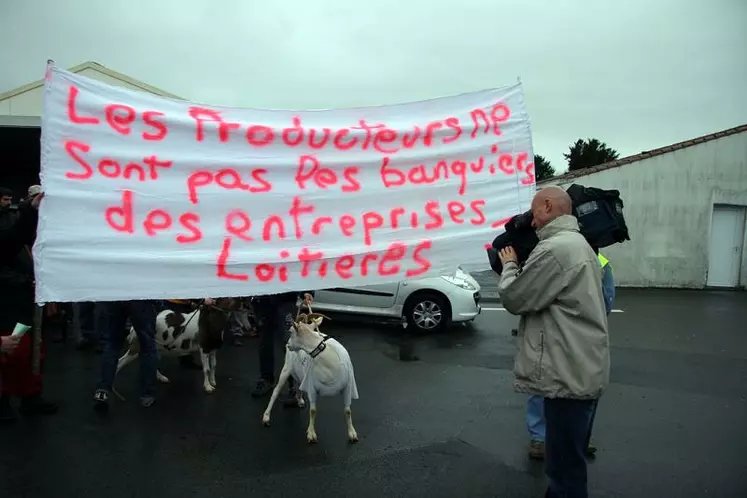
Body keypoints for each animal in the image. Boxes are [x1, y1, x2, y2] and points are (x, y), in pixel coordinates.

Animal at [262, 312, 360, 444]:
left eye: (291, 331)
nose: (287, 344)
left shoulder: (347, 387)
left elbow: (347, 411)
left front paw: (352, 434)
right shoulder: (312, 387)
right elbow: (313, 411)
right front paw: (311, 434)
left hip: (299, 372)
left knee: (298, 384)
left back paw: (299, 400)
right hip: (287, 368)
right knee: (276, 391)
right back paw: (266, 417)